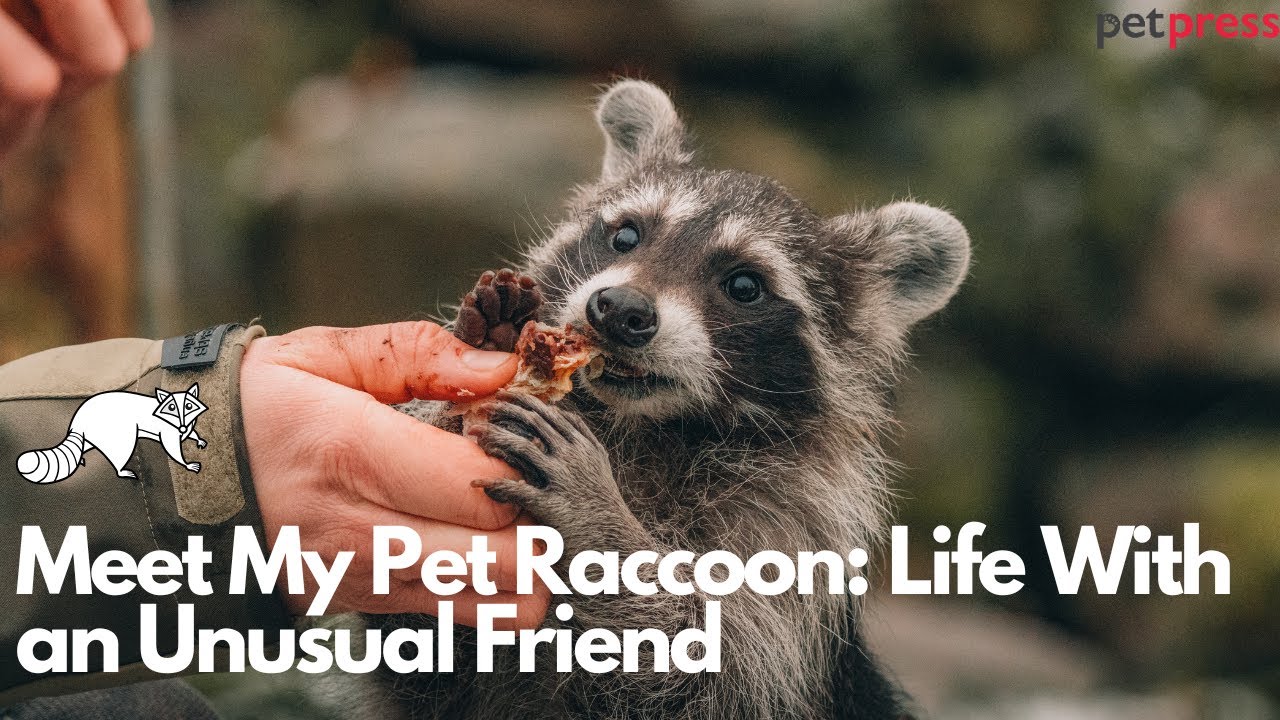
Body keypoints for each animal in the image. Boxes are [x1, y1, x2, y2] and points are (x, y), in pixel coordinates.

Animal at [346, 80, 970, 720]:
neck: (644, 428)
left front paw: (598, 519)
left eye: (745, 285)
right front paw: (478, 359)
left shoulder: (792, 535)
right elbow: (422, 651)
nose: (619, 309)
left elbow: (712, 671)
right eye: (626, 234)